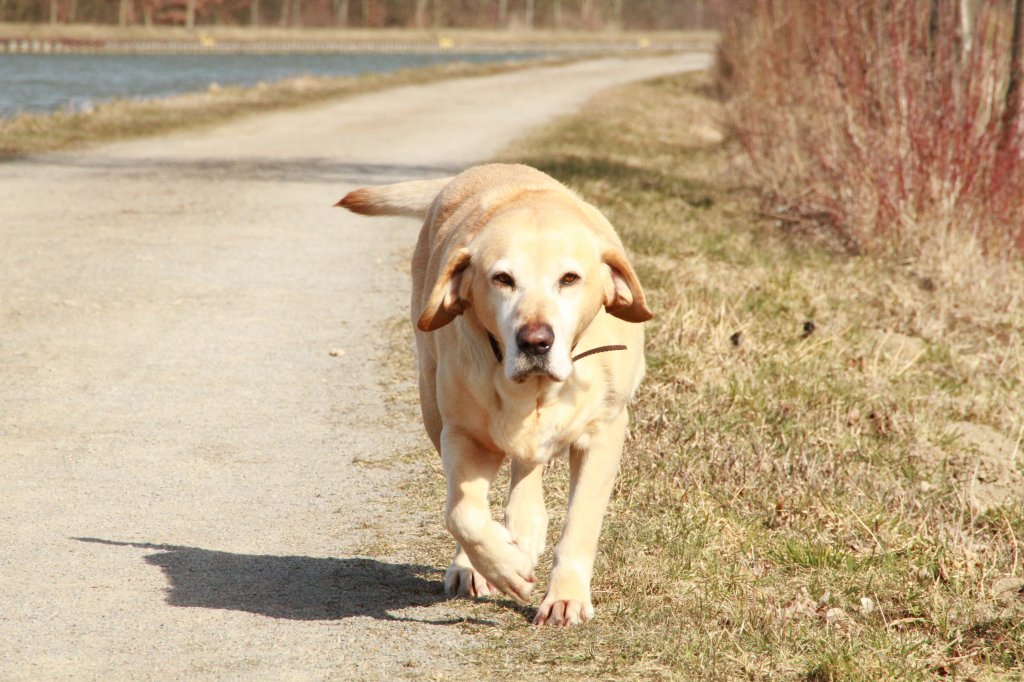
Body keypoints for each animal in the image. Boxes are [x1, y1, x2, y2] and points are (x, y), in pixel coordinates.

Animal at [339, 161, 651, 622]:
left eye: (570, 278)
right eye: (502, 279)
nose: (535, 341)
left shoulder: (603, 432)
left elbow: (581, 522)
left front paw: (566, 597)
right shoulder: (461, 432)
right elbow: (462, 513)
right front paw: (504, 566)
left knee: (527, 466)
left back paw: (526, 527)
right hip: (432, 405)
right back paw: (481, 561)